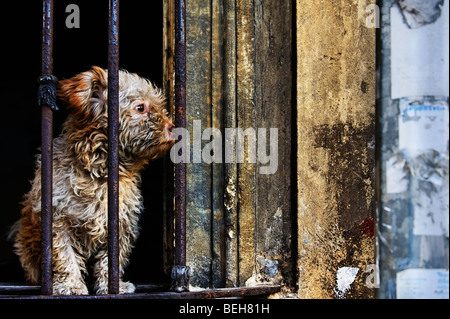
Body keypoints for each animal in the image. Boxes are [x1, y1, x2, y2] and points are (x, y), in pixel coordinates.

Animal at [10, 66, 176, 296]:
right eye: (141, 107)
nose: (172, 127)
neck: (98, 172)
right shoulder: (57, 221)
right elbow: (65, 256)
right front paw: (71, 284)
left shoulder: (120, 223)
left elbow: (111, 260)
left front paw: (113, 286)